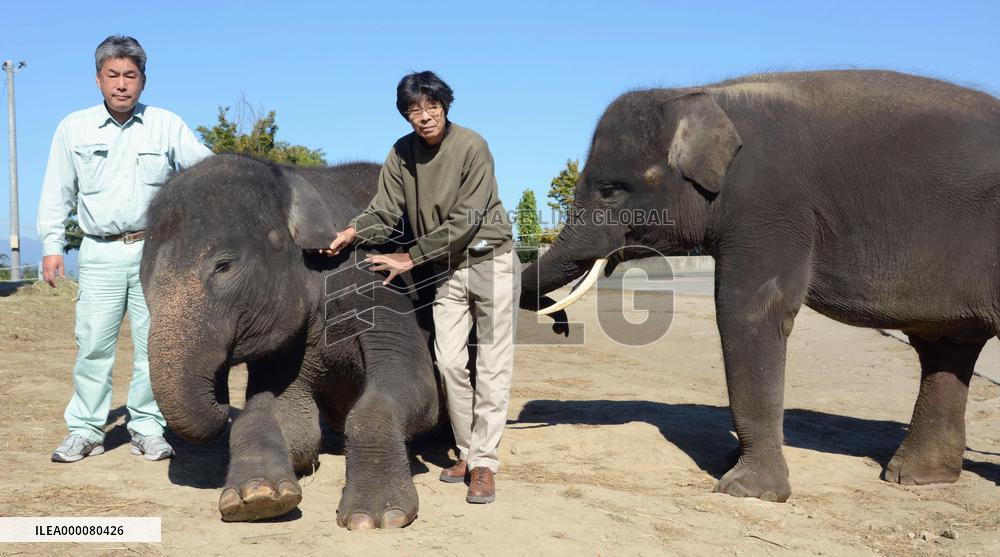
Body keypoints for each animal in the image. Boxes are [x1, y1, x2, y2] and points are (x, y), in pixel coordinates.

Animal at [140, 154, 440, 528]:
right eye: (143, 279)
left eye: (223, 266)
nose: (220, 397)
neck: (295, 178)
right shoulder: (289, 340)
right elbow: (288, 424)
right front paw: (256, 498)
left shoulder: (383, 284)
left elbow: (415, 390)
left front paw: (375, 516)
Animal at [522, 70, 1000, 502]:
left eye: (610, 191)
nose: (561, 325)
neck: (705, 94)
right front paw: (731, 466)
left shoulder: (769, 205)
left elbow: (748, 310)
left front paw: (745, 490)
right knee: (944, 346)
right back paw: (914, 479)